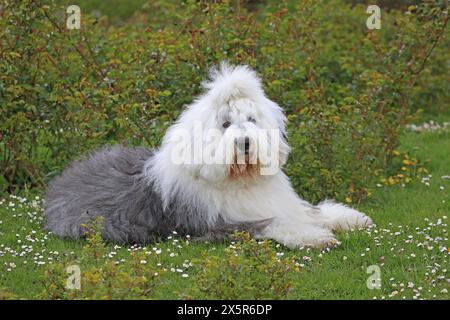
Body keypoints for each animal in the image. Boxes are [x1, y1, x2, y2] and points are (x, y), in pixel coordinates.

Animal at [44, 62, 372, 248]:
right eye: (225, 124)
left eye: (251, 120)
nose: (244, 142)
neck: (239, 181)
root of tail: (63, 179)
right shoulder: (225, 225)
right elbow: (274, 225)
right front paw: (317, 238)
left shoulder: (282, 203)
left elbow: (311, 211)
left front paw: (351, 218)